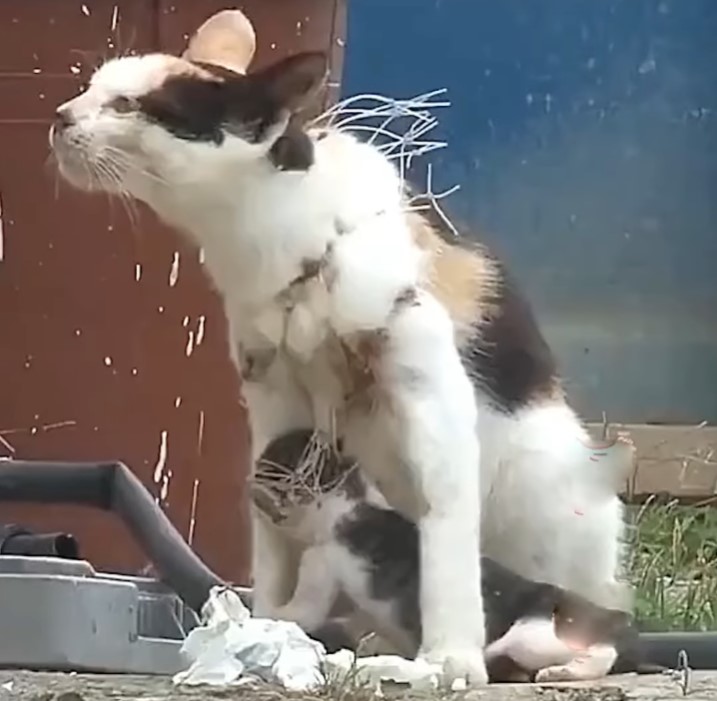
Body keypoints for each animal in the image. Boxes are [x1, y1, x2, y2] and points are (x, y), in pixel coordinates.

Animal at [51, 6, 628, 684]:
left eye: (132, 106)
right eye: (92, 87)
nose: (61, 115)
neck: (265, 244)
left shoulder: (429, 392)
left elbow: (444, 529)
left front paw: (451, 657)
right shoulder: (273, 402)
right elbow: (272, 535)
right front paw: (265, 629)